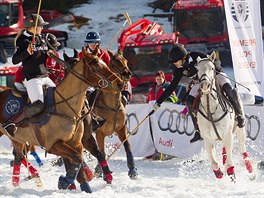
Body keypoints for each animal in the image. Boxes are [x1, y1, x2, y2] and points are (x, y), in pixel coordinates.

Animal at [0, 48, 124, 193]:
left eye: (105, 63)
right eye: (97, 67)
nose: (120, 83)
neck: (65, 106)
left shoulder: (77, 142)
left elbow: (81, 159)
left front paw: (85, 184)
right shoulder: (53, 144)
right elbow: (76, 158)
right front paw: (66, 182)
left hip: (17, 138)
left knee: (19, 157)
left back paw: (22, 180)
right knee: (19, 156)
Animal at [196, 51, 254, 182]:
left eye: (212, 68)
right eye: (197, 70)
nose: (205, 85)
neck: (211, 109)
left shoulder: (227, 135)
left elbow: (229, 164)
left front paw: (232, 176)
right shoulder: (208, 139)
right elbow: (214, 164)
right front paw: (221, 177)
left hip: (239, 131)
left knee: (243, 150)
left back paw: (251, 173)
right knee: (225, 152)